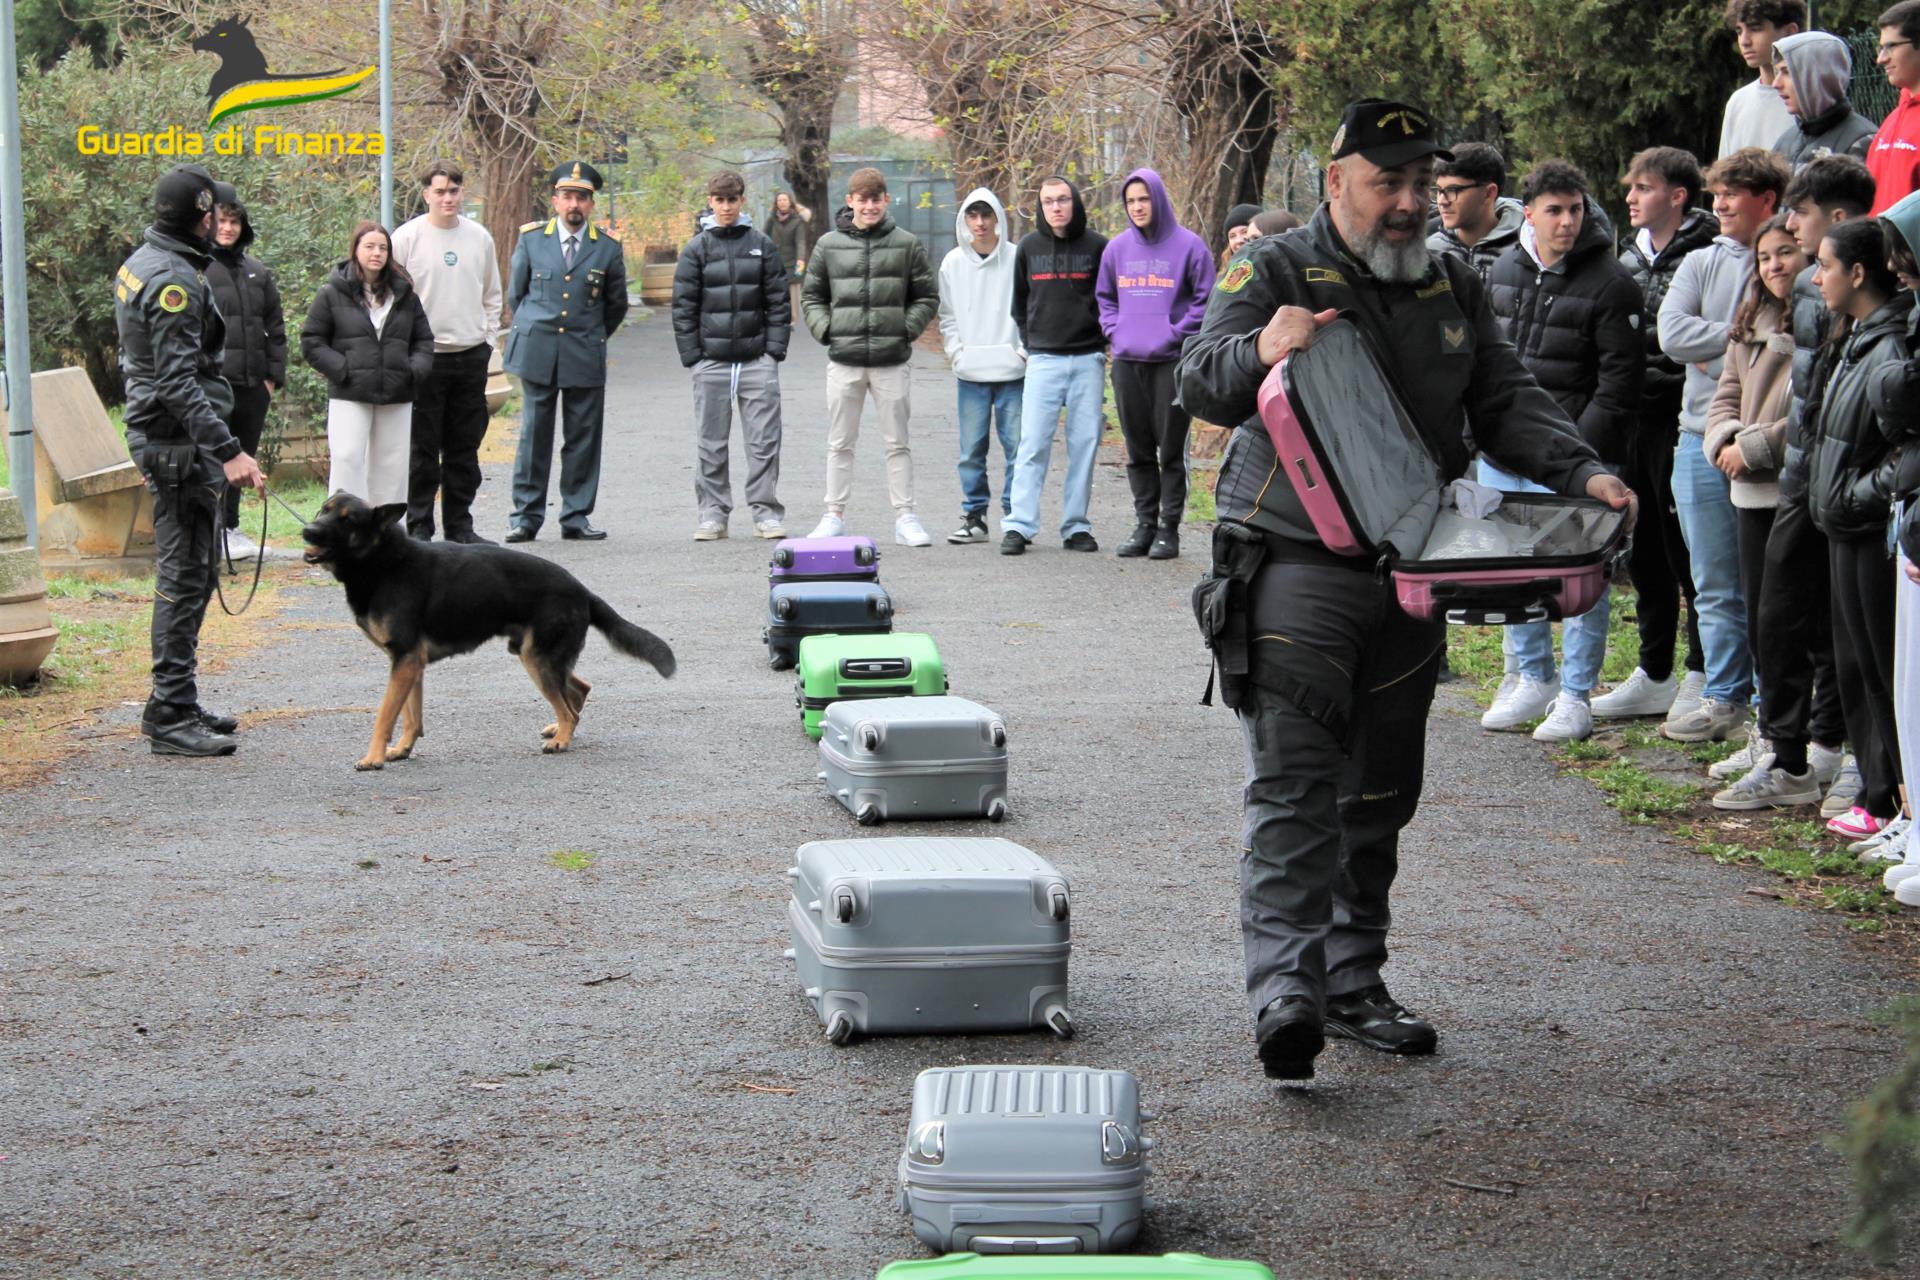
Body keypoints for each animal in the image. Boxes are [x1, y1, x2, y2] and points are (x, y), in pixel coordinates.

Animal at [303, 495, 679, 771]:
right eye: (323, 509)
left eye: (348, 520)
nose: (307, 531)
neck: (384, 561)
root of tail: (582, 590)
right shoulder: (409, 663)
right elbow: (410, 715)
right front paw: (402, 749)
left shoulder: (405, 661)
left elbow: (384, 715)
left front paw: (373, 759)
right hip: (537, 655)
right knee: (578, 690)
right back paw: (559, 729)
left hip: (536, 659)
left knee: (570, 706)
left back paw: (561, 739)